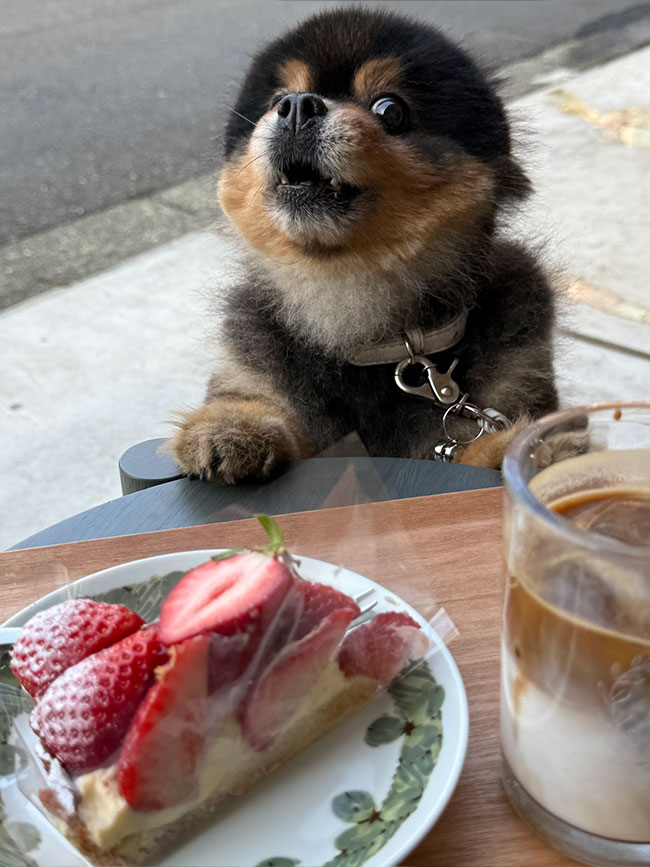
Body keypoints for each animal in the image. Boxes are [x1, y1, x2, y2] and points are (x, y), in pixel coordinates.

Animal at [170, 5, 556, 482]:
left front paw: (518, 452)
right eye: (278, 98)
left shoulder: (516, 373)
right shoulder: (257, 368)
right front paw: (234, 425)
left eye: (390, 110)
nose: (297, 106)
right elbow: (271, 408)